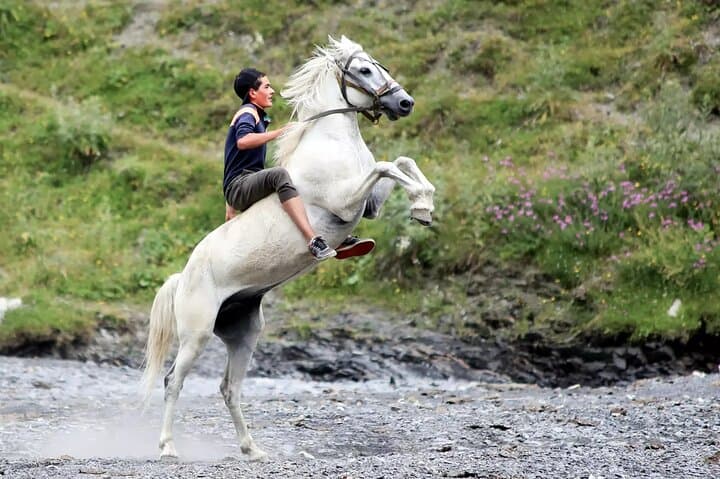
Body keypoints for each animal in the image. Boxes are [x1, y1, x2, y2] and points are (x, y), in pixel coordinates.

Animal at [140, 35, 436, 461]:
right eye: (364, 70)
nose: (405, 103)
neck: (333, 142)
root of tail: (183, 277)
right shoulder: (345, 201)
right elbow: (385, 165)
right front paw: (422, 205)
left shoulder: (368, 206)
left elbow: (399, 160)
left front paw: (424, 205)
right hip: (195, 335)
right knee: (172, 382)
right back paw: (167, 448)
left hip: (243, 334)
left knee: (229, 389)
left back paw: (252, 449)